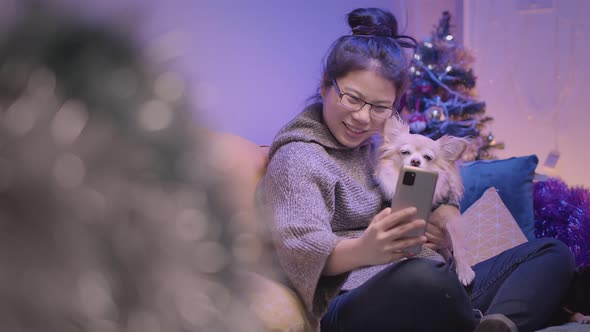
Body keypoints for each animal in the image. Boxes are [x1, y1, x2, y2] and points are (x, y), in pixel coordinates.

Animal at [376, 116, 478, 286]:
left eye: (428, 158)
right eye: (405, 152)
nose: (415, 161)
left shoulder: (452, 218)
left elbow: (459, 246)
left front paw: (464, 270)